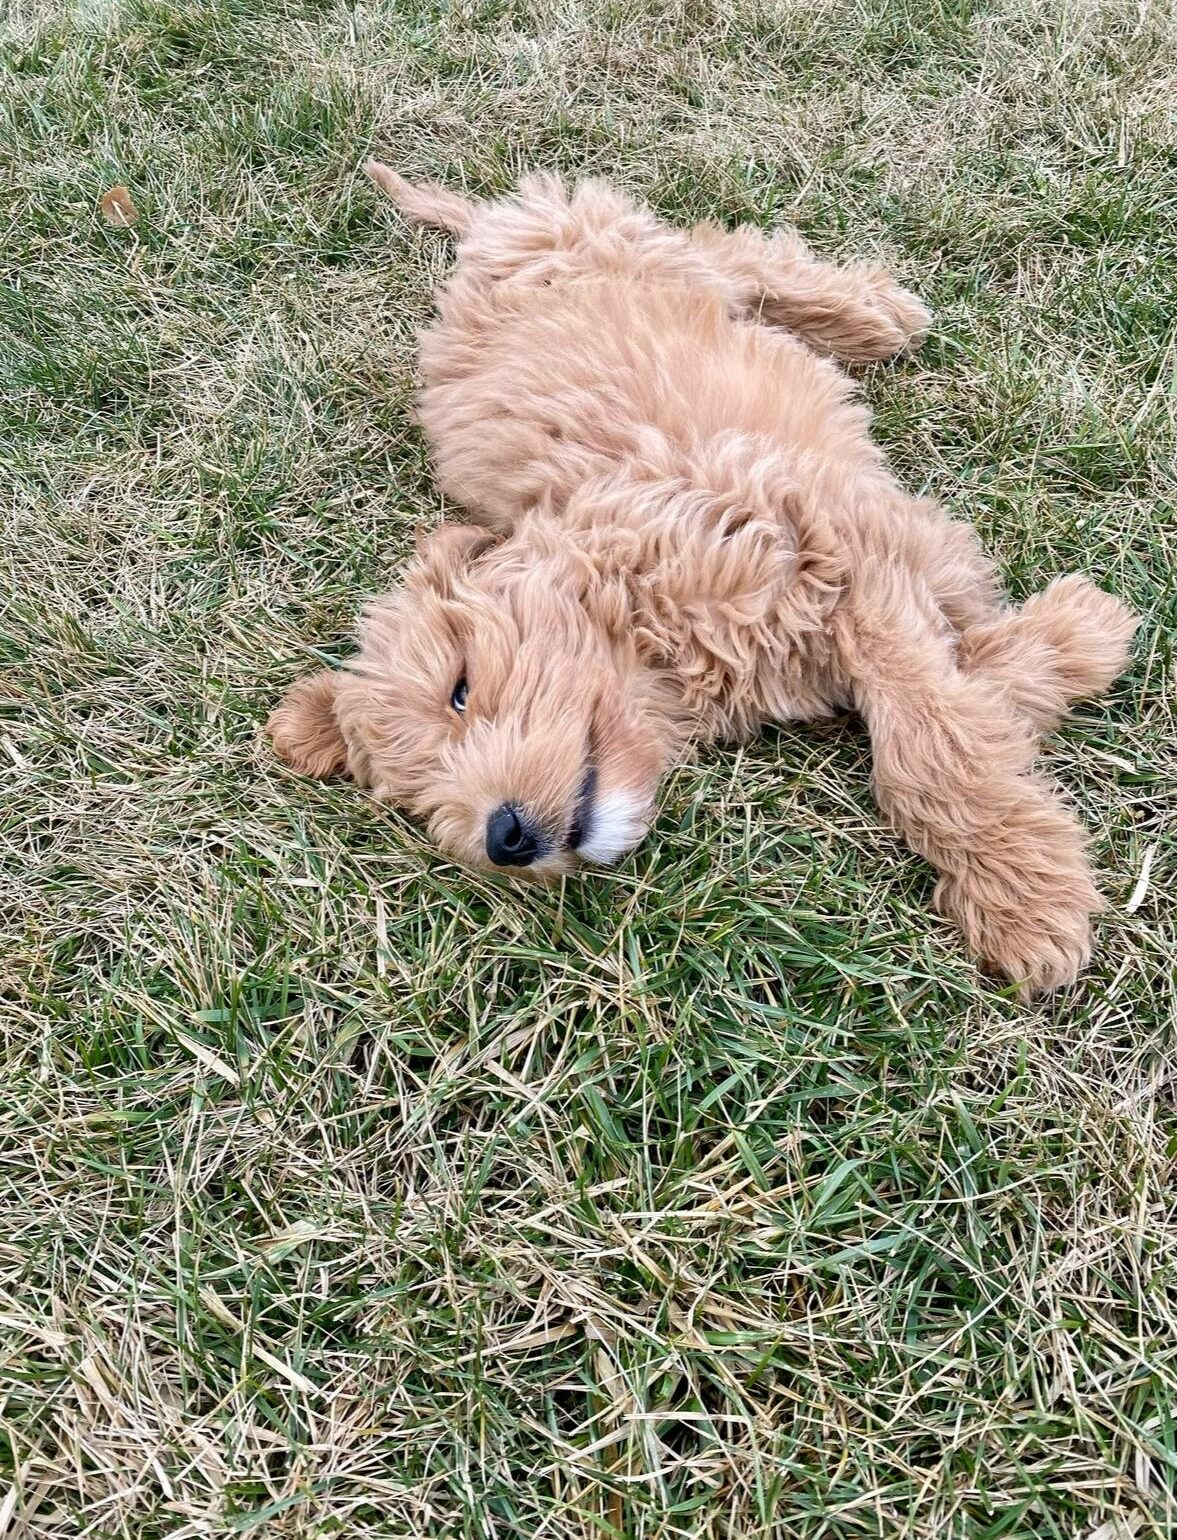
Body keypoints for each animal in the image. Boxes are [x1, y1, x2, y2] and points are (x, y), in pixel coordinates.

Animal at [264, 162, 1133, 991]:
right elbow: (962, 683)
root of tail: (486, 229)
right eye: (417, 797)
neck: (631, 602)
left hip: (629, 249)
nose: (502, 837)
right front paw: (1065, 639)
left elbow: (929, 742)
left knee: (732, 250)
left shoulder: (828, 548)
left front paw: (1021, 892)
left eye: (460, 689)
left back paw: (869, 314)